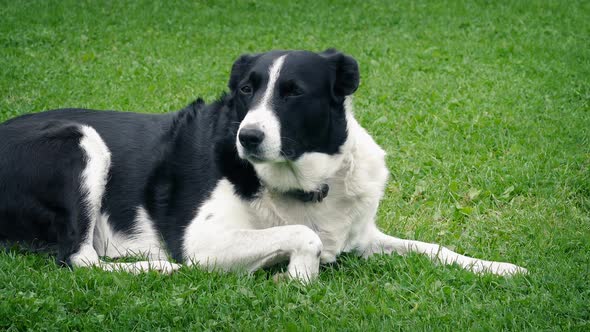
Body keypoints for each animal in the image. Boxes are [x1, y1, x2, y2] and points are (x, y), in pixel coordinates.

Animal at [0, 49, 528, 282]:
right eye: (246, 89)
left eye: (293, 92)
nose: (247, 137)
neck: (310, 184)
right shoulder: (203, 240)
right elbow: (305, 235)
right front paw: (299, 276)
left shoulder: (363, 235)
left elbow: (435, 247)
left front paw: (496, 266)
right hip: (81, 141)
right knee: (79, 259)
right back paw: (159, 268)